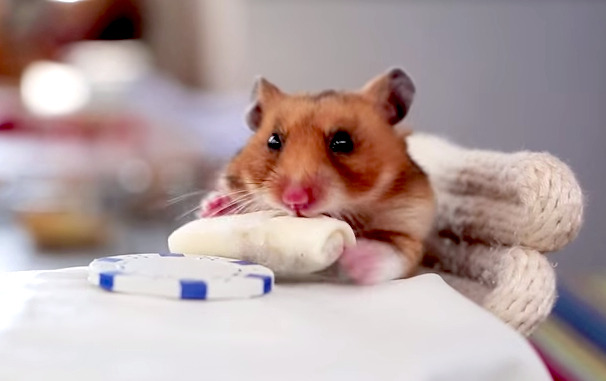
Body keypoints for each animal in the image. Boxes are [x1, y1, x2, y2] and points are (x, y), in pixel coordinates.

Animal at [202, 67, 434, 284]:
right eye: (273, 141)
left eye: (343, 142)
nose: (294, 200)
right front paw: (216, 205)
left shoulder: (411, 233)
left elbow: (393, 253)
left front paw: (352, 255)